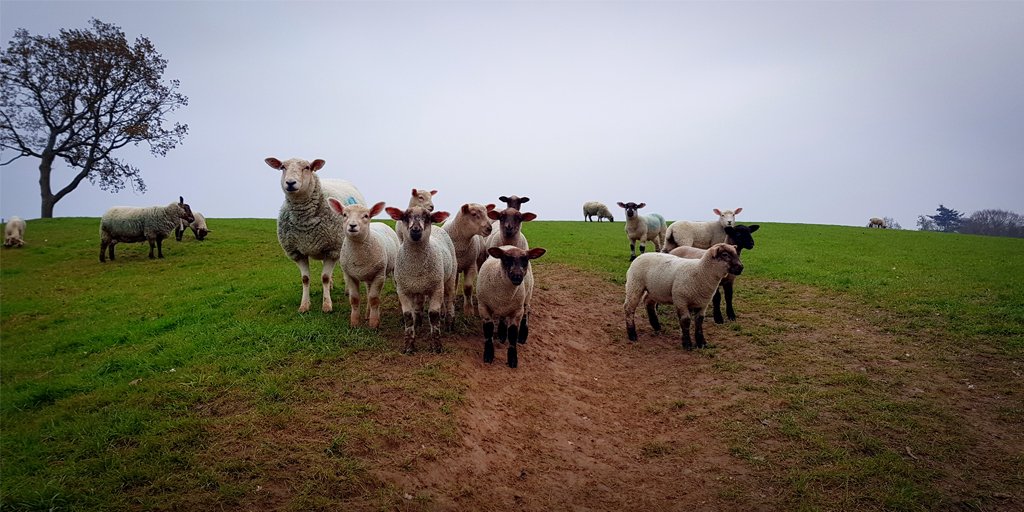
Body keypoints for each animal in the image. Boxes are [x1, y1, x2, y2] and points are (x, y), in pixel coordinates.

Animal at [265, 157, 365, 313]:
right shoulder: (297, 252)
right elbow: (305, 279)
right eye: (282, 167)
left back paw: (347, 289)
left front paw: (327, 305)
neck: (305, 223)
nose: (290, 183)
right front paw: (304, 305)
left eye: (307, 167)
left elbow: (324, 277)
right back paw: (331, 286)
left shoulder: (332, 249)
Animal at [328, 199, 400, 329]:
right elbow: (355, 299)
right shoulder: (349, 276)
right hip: (368, 275)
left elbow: (374, 299)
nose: (352, 225)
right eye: (344, 215)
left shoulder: (379, 275)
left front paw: (374, 323)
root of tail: (380, 222)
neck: (358, 257)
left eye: (366, 216)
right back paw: (367, 314)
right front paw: (354, 323)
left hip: (392, 268)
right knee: (368, 292)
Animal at [386, 205, 458, 354]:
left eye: (428, 218)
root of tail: (437, 227)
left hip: (450, 277)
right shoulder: (403, 290)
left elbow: (434, 315)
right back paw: (418, 325)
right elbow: (408, 316)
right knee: (418, 305)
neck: (416, 267)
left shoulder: (437, 288)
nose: (415, 230)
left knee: (449, 300)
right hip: (418, 287)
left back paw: (449, 323)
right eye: (405, 217)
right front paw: (409, 347)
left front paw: (437, 346)